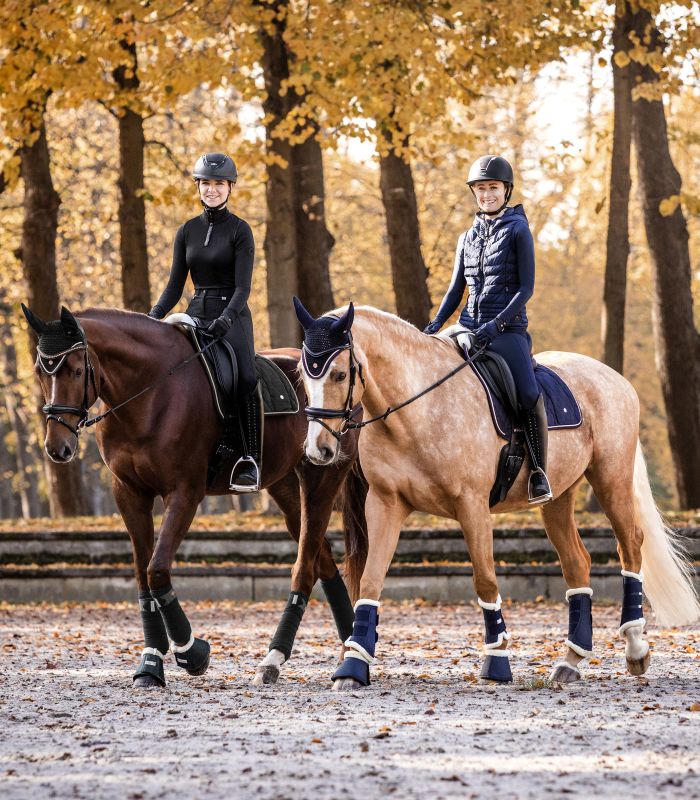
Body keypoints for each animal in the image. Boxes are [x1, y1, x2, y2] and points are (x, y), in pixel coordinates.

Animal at [22, 304, 368, 689]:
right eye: (40, 371)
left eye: (78, 370)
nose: (57, 448)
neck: (149, 392)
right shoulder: (128, 493)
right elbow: (143, 575)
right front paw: (150, 664)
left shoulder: (184, 493)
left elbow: (157, 569)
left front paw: (192, 652)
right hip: (284, 488)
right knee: (322, 559)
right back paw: (347, 647)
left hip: (321, 476)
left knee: (305, 566)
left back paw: (279, 660)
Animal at [292, 299, 699, 691]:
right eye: (302, 375)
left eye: (340, 374)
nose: (319, 450)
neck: (416, 410)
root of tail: (615, 378)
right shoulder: (385, 503)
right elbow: (371, 579)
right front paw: (352, 666)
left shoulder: (471, 504)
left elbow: (485, 579)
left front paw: (497, 662)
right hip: (557, 498)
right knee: (577, 562)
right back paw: (570, 661)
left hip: (610, 479)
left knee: (630, 546)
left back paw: (635, 648)